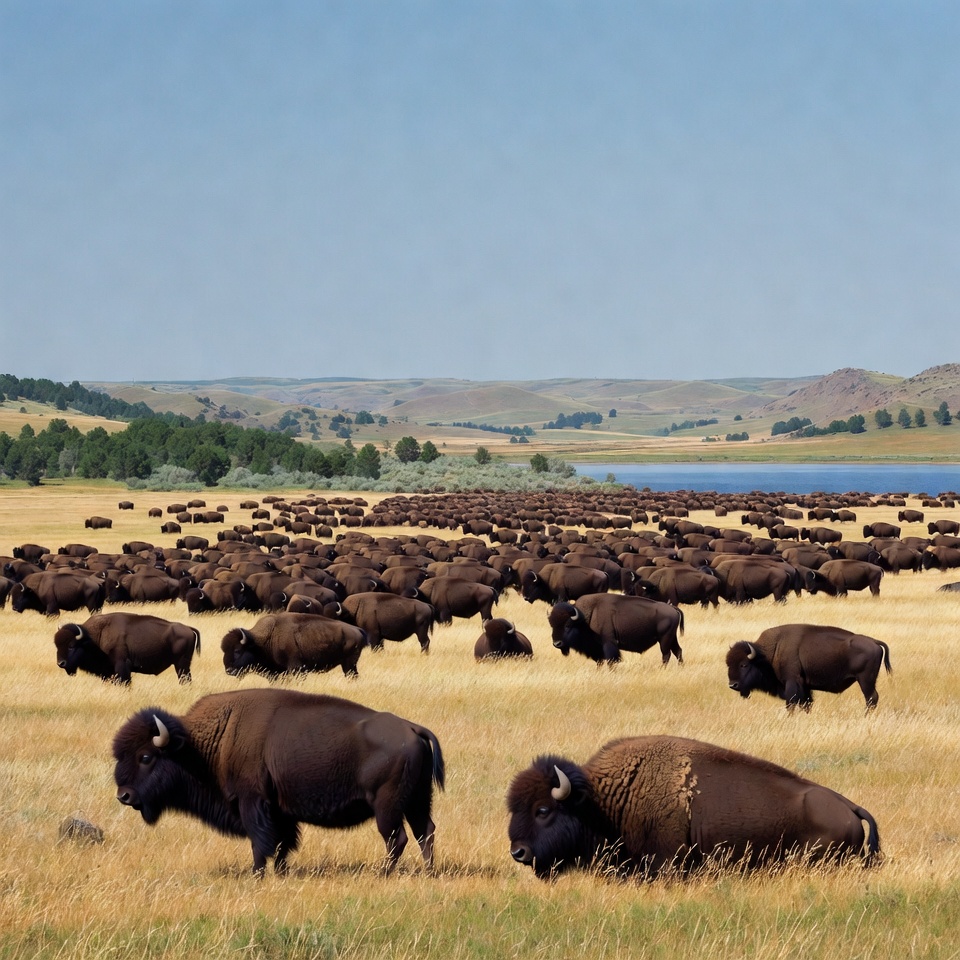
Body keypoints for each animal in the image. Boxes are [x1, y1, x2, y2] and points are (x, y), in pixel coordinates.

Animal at [54, 613, 201, 684]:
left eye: (71, 646)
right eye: (56, 645)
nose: (61, 663)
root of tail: (189, 629)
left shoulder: (122, 666)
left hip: (181, 664)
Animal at [113, 689, 445, 875]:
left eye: (145, 757)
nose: (124, 796)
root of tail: (412, 728)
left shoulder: (252, 803)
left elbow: (261, 842)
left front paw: (258, 874)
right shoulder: (280, 811)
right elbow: (284, 842)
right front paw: (281, 872)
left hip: (387, 806)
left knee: (397, 838)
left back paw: (382, 873)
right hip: (417, 800)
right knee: (424, 832)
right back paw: (428, 872)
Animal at [726, 623, 892, 711]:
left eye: (744, 664)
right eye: (727, 664)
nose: (733, 685)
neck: (769, 653)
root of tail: (874, 642)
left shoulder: (791, 682)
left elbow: (791, 703)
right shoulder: (805, 687)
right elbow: (806, 704)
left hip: (865, 680)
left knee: (871, 698)